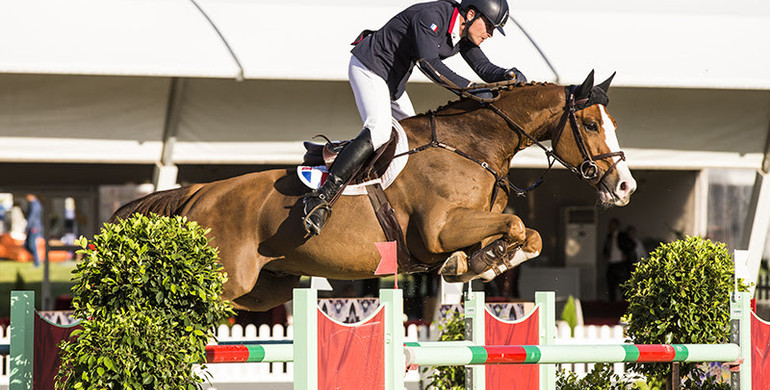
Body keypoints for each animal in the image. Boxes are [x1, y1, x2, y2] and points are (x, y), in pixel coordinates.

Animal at [111, 71, 632, 310]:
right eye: (590, 124)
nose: (625, 186)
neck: (473, 146)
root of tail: (199, 192)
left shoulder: (471, 225)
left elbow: (528, 234)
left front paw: (481, 264)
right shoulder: (439, 229)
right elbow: (518, 225)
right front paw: (474, 263)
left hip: (263, 289)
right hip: (222, 281)